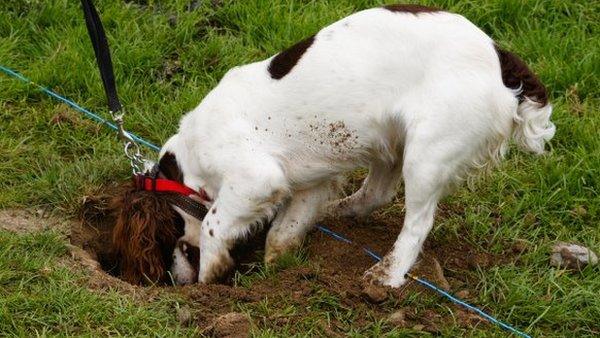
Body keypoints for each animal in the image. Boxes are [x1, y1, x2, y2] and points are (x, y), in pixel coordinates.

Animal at [129, 3, 556, 286]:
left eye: (167, 236)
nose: (174, 281)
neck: (190, 155)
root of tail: (499, 57)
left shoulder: (255, 177)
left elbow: (213, 225)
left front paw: (209, 280)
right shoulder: (309, 184)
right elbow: (284, 230)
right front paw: (279, 265)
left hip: (428, 153)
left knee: (417, 223)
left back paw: (387, 275)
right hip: (389, 139)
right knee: (376, 194)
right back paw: (337, 214)